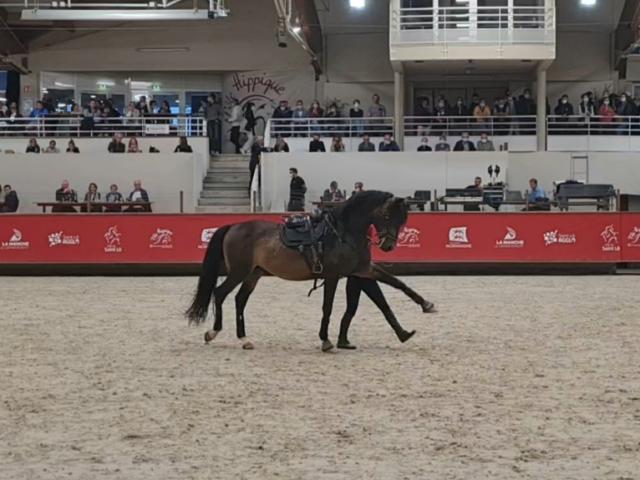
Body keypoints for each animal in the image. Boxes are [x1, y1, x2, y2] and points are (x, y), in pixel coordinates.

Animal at [186, 189, 436, 350]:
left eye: (403, 220)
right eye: (386, 215)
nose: (388, 246)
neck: (343, 232)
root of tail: (233, 226)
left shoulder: (363, 269)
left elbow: (396, 283)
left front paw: (424, 307)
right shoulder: (333, 276)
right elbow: (328, 306)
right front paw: (325, 340)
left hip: (253, 274)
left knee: (239, 300)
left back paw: (244, 339)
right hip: (240, 271)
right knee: (220, 293)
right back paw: (213, 332)